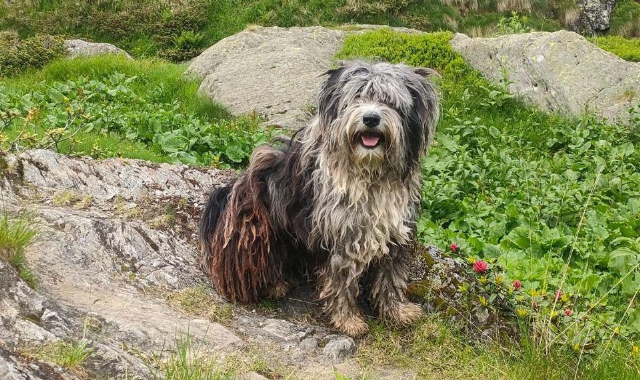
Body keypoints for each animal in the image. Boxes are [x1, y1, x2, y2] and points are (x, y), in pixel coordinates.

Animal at [200, 60, 440, 336]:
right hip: (253, 223)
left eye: (389, 100)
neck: (370, 175)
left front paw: (397, 311)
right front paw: (348, 320)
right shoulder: (342, 235)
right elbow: (341, 282)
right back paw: (273, 284)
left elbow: (391, 276)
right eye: (357, 97)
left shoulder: (395, 230)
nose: (370, 118)